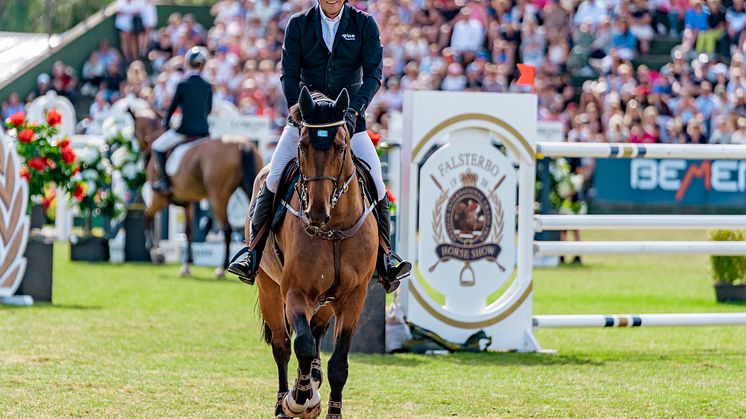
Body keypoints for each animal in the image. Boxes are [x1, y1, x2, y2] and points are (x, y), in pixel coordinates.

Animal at [131, 107, 262, 278]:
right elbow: (189, 231)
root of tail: (241, 145)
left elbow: (147, 217)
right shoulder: (188, 202)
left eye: (134, 132)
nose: (143, 161)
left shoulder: (160, 198)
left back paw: (221, 268)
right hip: (252, 189)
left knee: (227, 229)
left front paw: (155, 252)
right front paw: (187, 264)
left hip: (218, 197)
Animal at [251, 87, 378, 418]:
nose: (316, 213)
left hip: (326, 302)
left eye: (341, 147)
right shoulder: (296, 292)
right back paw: (285, 402)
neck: (333, 230)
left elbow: (338, 364)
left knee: (317, 333)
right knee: (283, 345)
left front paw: (330, 408)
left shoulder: (353, 297)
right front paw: (298, 398)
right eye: (302, 145)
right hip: (269, 289)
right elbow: (303, 347)